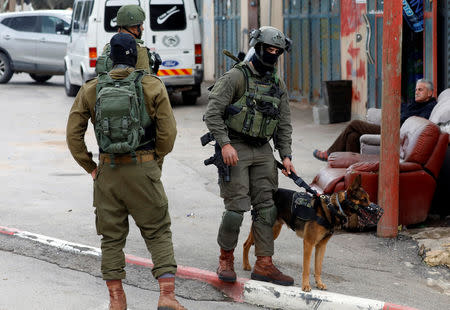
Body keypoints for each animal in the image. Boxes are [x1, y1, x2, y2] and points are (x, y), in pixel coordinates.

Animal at [241, 176, 382, 292]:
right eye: (364, 200)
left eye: (369, 199)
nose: (379, 210)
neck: (332, 209)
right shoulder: (308, 243)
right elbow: (307, 268)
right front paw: (306, 286)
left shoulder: (321, 246)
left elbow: (318, 268)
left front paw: (319, 283)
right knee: (246, 244)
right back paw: (246, 265)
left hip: (274, 230)